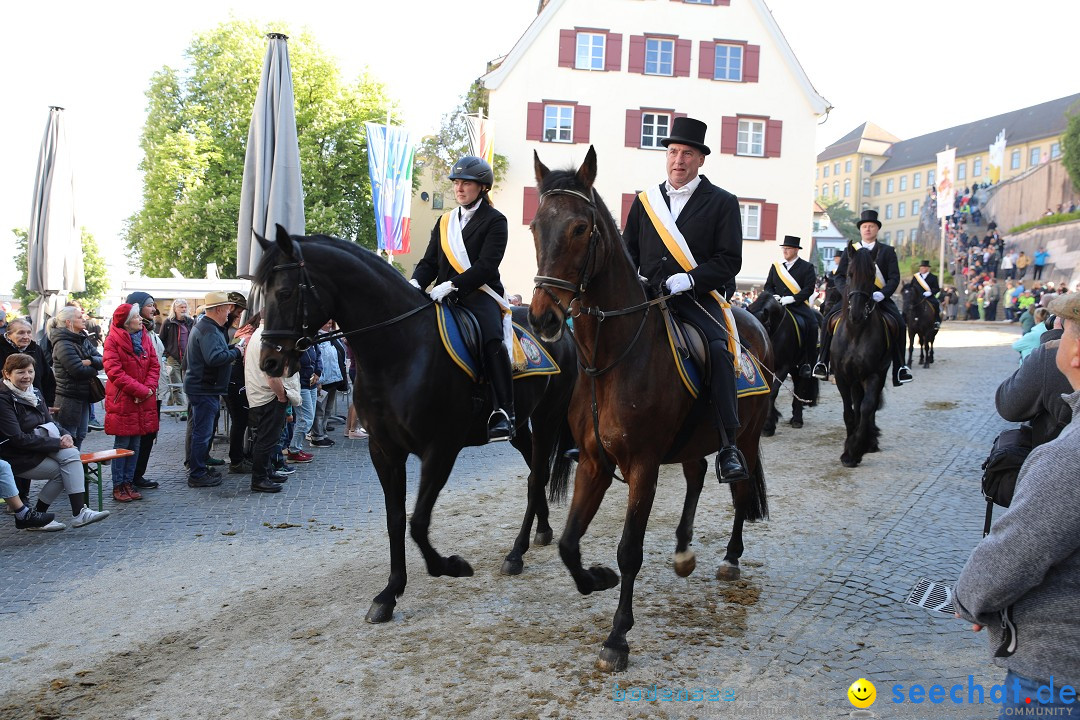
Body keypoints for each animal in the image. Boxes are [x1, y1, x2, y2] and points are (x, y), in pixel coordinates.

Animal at [253, 227, 578, 621]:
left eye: (284, 292)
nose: (268, 363)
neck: (399, 350)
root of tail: (559, 326)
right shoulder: (384, 450)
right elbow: (395, 519)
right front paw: (389, 593)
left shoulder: (440, 450)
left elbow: (418, 522)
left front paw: (451, 566)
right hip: (521, 424)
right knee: (535, 470)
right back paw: (540, 532)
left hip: (548, 417)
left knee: (537, 475)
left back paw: (516, 551)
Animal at [529, 148, 768, 673]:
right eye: (535, 225)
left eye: (581, 228)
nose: (542, 318)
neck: (612, 358)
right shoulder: (594, 463)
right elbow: (568, 544)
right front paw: (596, 579)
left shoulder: (642, 466)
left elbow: (629, 551)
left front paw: (617, 637)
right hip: (695, 440)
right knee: (697, 475)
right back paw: (683, 550)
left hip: (744, 437)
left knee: (740, 490)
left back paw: (731, 557)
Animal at [751, 293, 816, 433]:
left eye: (761, 330)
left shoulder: (783, 367)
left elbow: (773, 392)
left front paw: (767, 425)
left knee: (800, 386)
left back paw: (797, 419)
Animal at [829, 245, 889, 470]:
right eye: (849, 274)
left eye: (873, 274)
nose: (856, 313)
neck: (855, 333)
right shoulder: (842, 376)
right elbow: (849, 412)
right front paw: (849, 448)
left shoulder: (873, 375)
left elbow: (866, 408)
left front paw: (854, 450)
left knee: (867, 406)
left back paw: (869, 440)